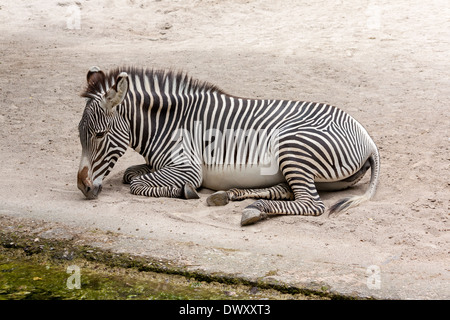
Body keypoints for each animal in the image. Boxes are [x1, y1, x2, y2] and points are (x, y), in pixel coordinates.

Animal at [77, 65, 380, 225]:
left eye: (100, 135)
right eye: (80, 133)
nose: (83, 187)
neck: (168, 123)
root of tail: (367, 138)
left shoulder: (187, 167)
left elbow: (138, 184)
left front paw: (185, 191)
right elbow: (130, 174)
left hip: (292, 145)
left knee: (311, 203)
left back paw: (255, 209)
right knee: (286, 190)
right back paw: (233, 196)